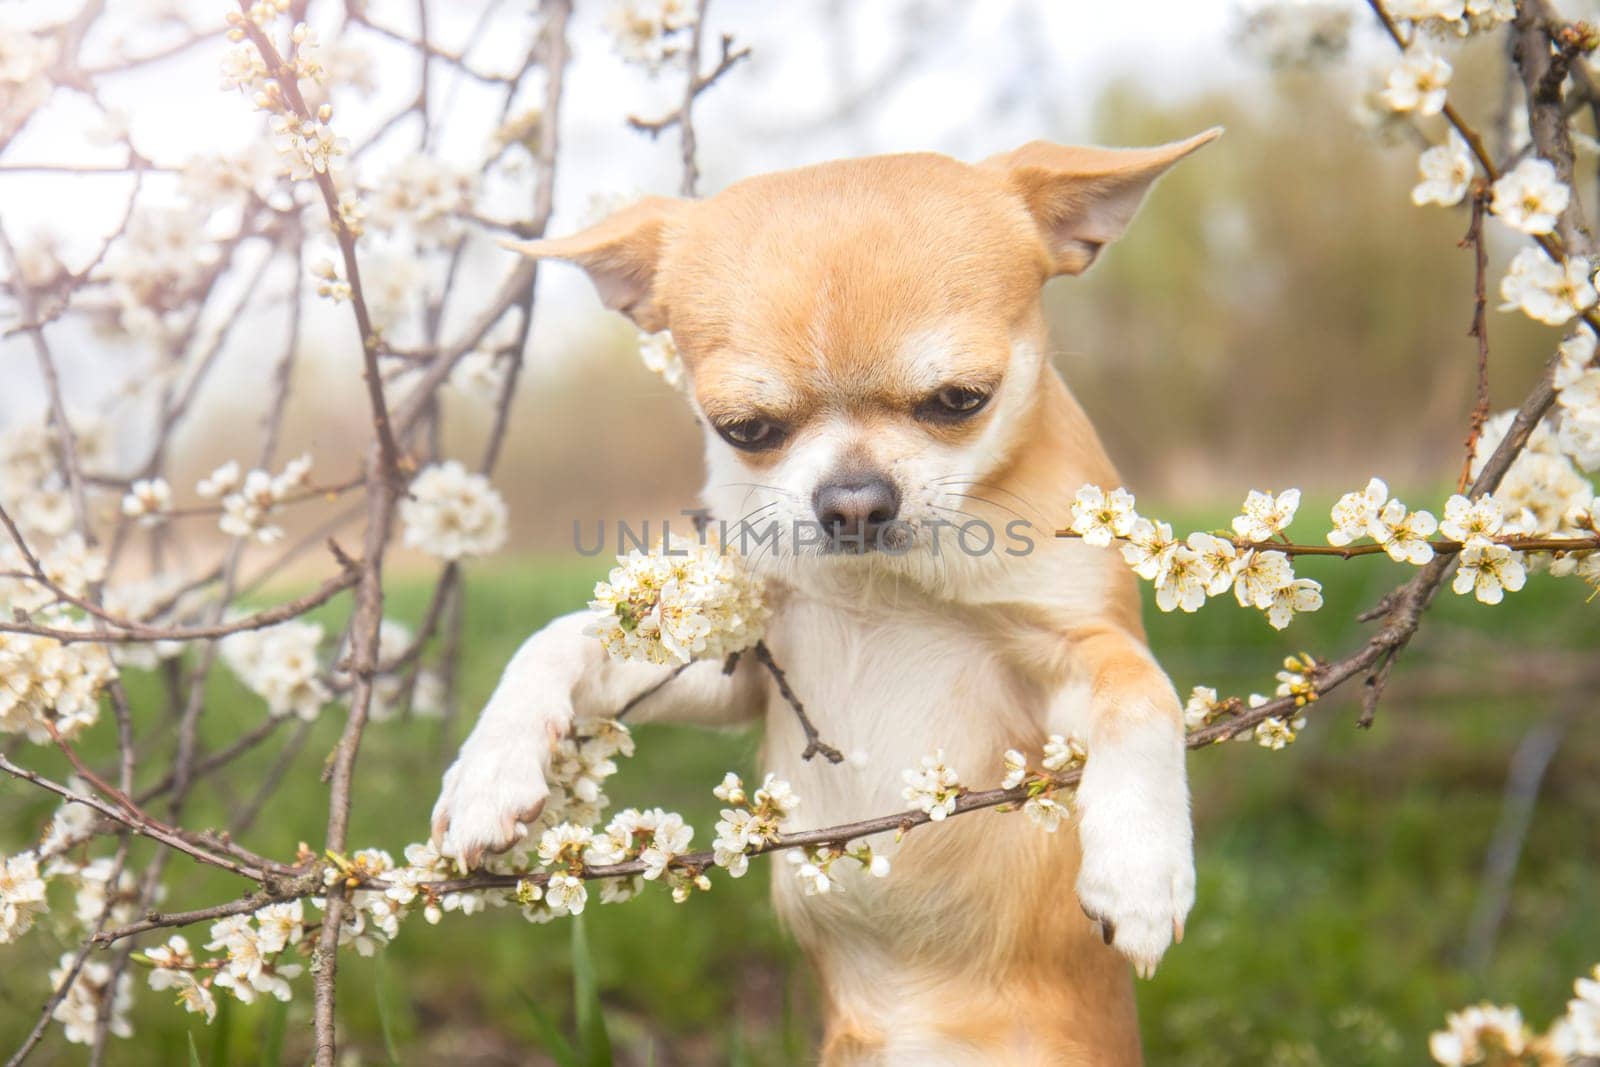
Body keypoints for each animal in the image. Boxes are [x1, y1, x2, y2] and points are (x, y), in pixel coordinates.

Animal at [432, 129, 1216, 1062]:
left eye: (962, 400)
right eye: (743, 429)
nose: (854, 501)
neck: (887, 587)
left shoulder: (1071, 652)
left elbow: (1143, 691)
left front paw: (1140, 866)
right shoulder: (744, 667)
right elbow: (559, 636)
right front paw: (488, 768)